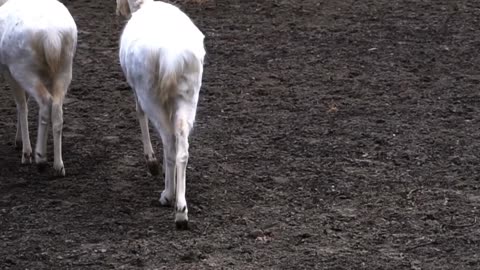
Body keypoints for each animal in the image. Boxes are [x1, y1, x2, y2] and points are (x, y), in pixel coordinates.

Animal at [0, 0, 78, 176]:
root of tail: (52, 37)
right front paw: (19, 141)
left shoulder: (7, 69)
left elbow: (21, 104)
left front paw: (25, 151)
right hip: (65, 68)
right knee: (56, 108)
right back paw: (58, 165)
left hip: (23, 68)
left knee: (44, 102)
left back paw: (40, 158)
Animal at [116, 0, 206, 229]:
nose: (119, 10)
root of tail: (171, 57)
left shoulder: (135, 87)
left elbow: (138, 112)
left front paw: (152, 164)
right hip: (189, 94)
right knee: (182, 147)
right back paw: (181, 210)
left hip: (150, 92)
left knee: (169, 142)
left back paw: (168, 195)